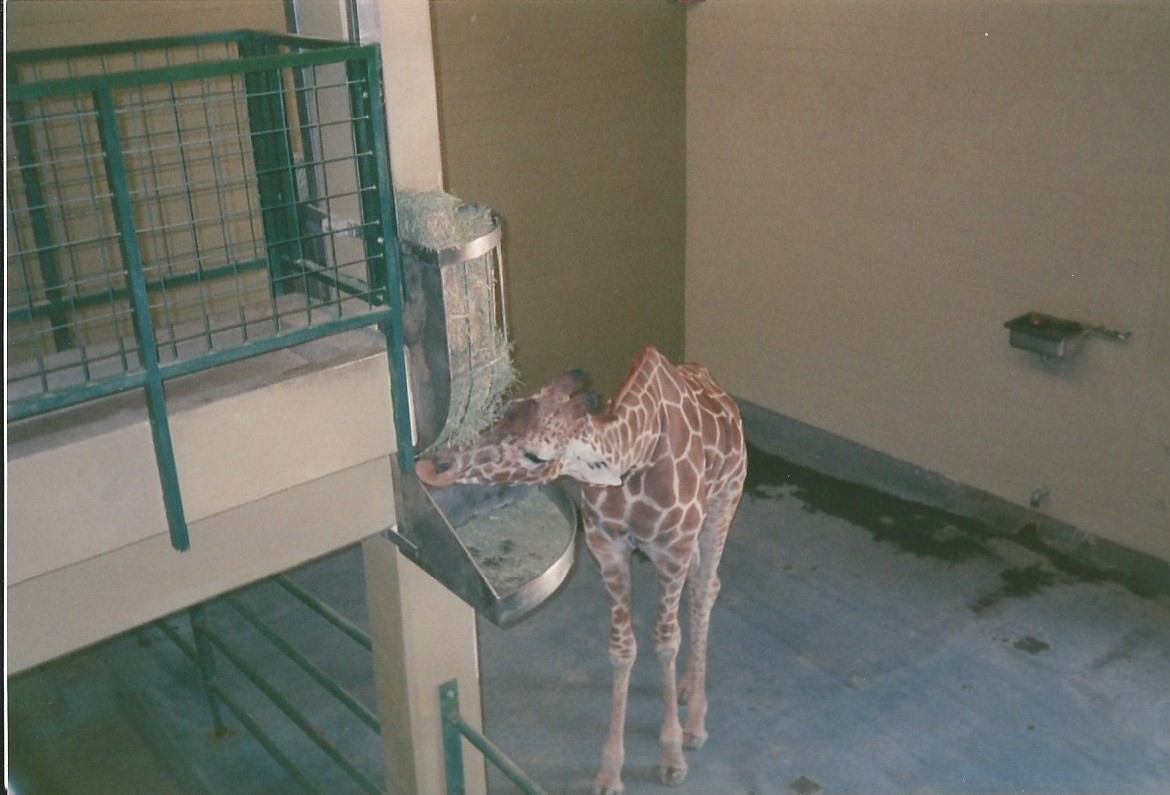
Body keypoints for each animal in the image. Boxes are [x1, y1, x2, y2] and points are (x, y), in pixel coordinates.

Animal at [414, 346, 747, 795]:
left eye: (536, 456)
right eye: (506, 410)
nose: (434, 466)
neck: (635, 460)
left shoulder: (671, 550)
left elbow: (665, 642)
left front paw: (672, 756)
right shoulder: (606, 547)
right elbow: (622, 649)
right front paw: (609, 772)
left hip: (723, 503)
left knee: (705, 589)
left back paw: (695, 722)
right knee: (703, 585)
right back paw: (685, 690)